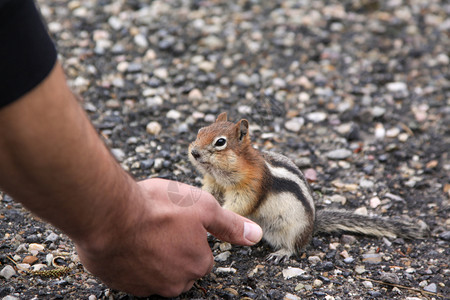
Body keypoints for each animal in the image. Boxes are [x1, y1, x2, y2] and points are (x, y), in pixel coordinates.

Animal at [188, 112, 428, 262]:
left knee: (295, 247)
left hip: (294, 229)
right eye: (200, 131)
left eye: (220, 142)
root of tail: (312, 227)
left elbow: (240, 205)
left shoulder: (252, 185)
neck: (221, 174)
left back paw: (281, 253)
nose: (194, 152)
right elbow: (209, 194)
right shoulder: (214, 184)